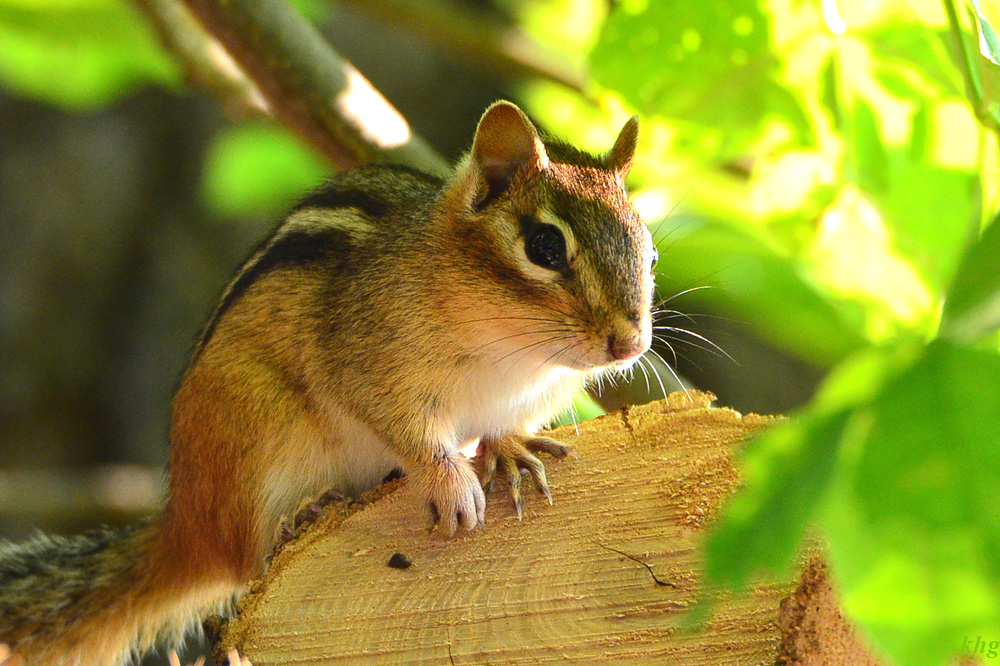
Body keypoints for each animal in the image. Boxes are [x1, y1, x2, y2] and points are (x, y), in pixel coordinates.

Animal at [0, 101, 655, 665]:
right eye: (545, 246)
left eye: (649, 254)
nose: (630, 344)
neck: (514, 355)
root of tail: (182, 519)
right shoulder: (367, 362)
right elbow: (409, 432)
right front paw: (451, 484)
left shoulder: (532, 395)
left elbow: (502, 426)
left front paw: (507, 449)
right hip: (255, 428)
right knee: (246, 557)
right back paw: (304, 512)